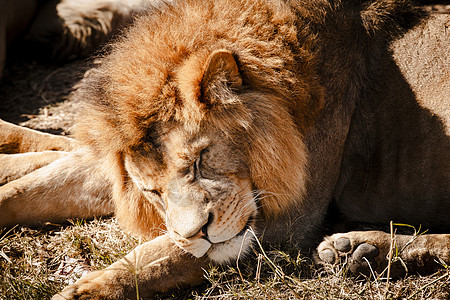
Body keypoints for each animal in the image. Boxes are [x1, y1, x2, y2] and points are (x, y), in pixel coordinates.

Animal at [0, 0, 448, 298]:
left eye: (201, 160)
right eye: (152, 192)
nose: (199, 232)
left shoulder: (288, 219)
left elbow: (157, 258)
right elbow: (29, 189)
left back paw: (361, 250)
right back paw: (357, 253)